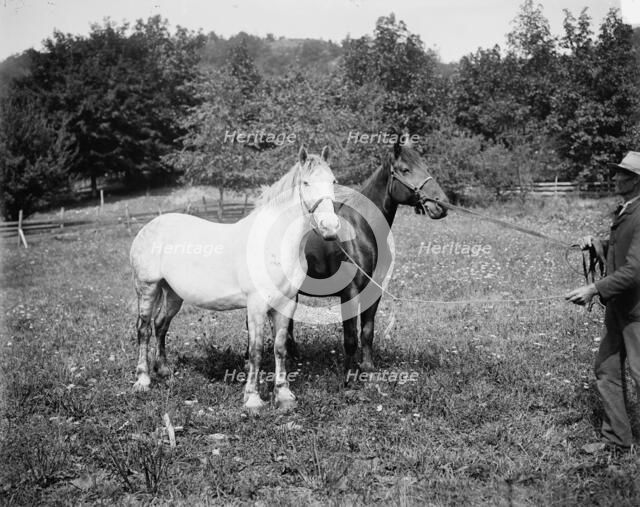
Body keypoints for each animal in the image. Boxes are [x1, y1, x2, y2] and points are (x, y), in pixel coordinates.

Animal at [129, 146, 340, 411]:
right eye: (306, 182)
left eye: (333, 181)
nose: (330, 227)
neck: (274, 243)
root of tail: (149, 226)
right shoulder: (256, 305)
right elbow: (256, 350)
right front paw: (252, 399)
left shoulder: (285, 304)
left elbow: (280, 348)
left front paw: (283, 396)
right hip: (147, 288)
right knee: (144, 329)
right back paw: (143, 380)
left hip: (173, 294)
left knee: (160, 326)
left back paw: (165, 371)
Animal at [287, 141, 449, 378]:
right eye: (405, 170)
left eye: (425, 167)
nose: (441, 205)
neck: (360, 229)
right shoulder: (350, 292)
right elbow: (350, 338)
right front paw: (348, 376)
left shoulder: (374, 290)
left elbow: (367, 331)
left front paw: (368, 369)